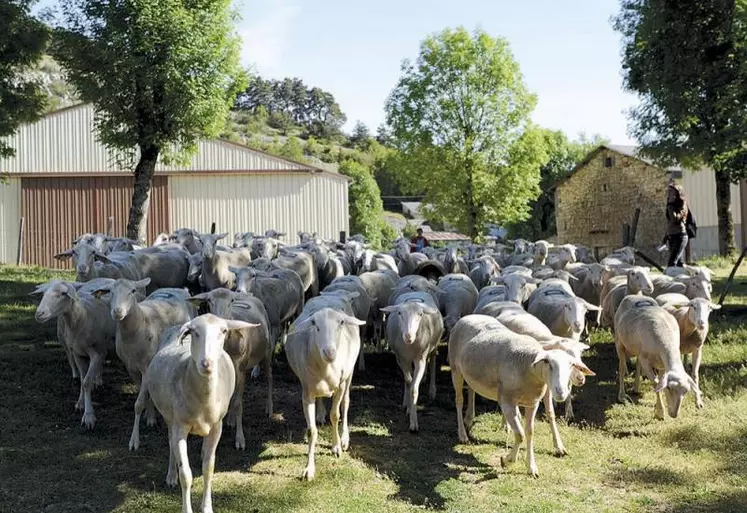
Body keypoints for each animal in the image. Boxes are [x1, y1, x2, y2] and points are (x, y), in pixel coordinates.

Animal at [134, 314, 260, 512]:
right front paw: (186, 505)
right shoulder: (180, 427)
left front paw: (207, 507)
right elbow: (186, 474)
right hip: (169, 416)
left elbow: (208, 468)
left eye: (224, 331)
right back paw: (171, 475)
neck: (204, 400)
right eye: (194, 332)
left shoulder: (217, 427)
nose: (206, 364)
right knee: (170, 443)